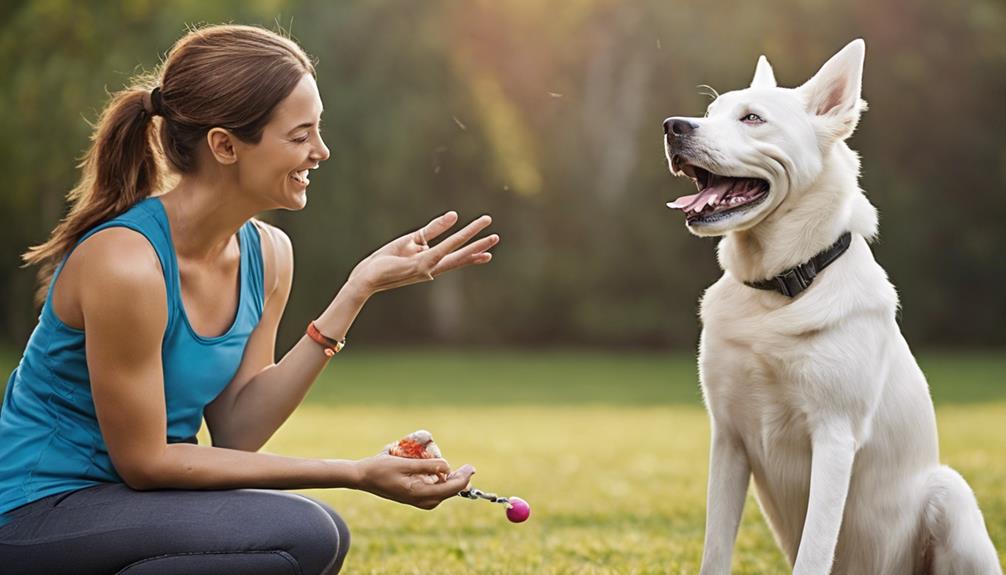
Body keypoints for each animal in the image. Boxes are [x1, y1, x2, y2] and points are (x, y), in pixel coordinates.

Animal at [663, 38, 1001, 570]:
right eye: (709, 113)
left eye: (752, 118)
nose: (673, 127)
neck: (780, 290)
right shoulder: (728, 440)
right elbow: (715, 551)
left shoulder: (834, 437)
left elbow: (814, 551)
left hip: (950, 492)